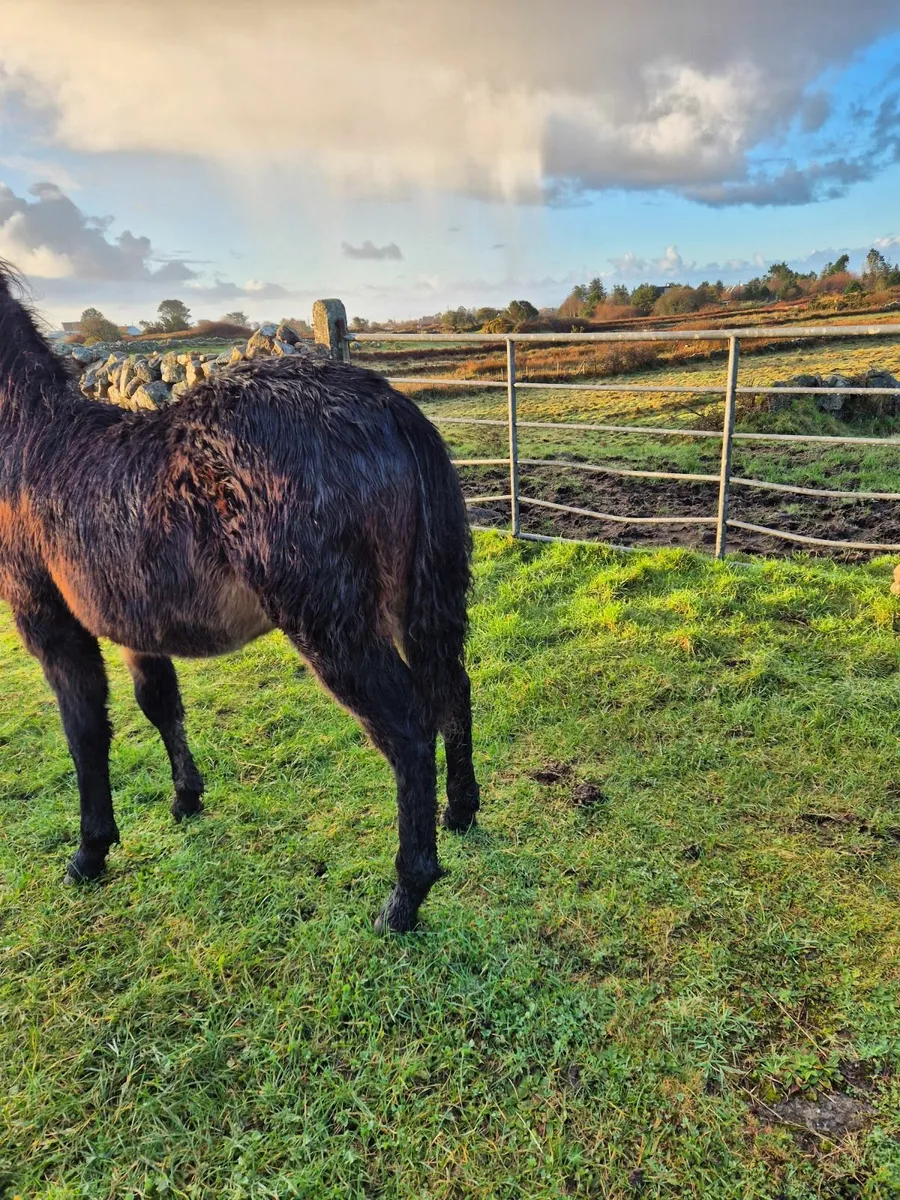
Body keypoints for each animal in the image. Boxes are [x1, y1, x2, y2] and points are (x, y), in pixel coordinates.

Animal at [0, 261, 479, 933]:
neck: (28, 445)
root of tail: (385, 403)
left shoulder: (50, 622)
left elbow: (84, 731)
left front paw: (89, 852)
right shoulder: (135, 623)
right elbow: (159, 703)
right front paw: (185, 799)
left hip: (331, 625)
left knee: (409, 729)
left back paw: (404, 898)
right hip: (411, 603)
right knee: (451, 689)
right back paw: (459, 814)